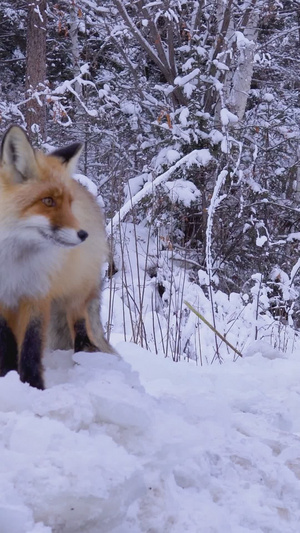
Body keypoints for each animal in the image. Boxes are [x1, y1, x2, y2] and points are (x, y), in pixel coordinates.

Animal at [0, 127, 115, 388]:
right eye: (48, 201)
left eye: (69, 204)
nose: (83, 234)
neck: (11, 260)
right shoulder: (4, 299)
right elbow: (8, 344)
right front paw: (7, 376)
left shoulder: (36, 293)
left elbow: (31, 346)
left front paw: (33, 385)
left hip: (76, 293)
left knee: (80, 325)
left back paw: (85, 356)